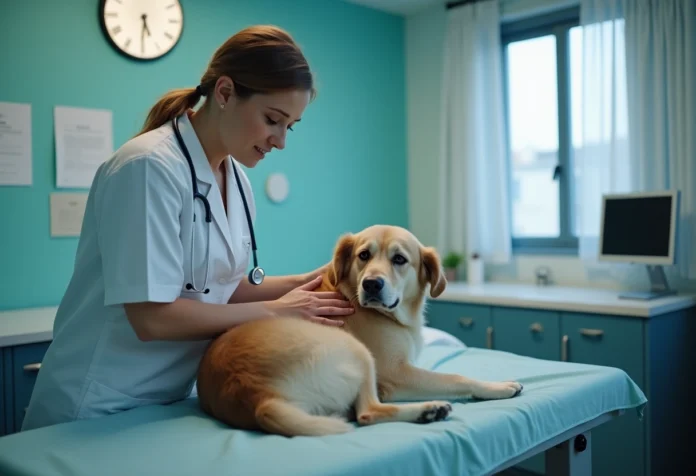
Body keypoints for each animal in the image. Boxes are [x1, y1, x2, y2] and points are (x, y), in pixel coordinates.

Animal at [196, 225, 520, 436]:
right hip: (359, 353)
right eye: (364, 255)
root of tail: (258, 397)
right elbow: (456, 377)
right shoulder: (395, 373)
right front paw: (496, 387)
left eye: (399, 259)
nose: (372, 284)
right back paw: (429, 408)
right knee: (367, 412)